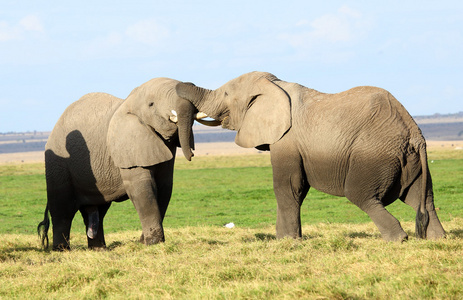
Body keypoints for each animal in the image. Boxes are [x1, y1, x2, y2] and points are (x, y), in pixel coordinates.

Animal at [39, 78, 206, 251]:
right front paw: (153, 243)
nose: (192, 155)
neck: (130, 101)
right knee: (62, 208)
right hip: (57, 163)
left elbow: (164, 188)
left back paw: (99, 249)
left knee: (97, 210)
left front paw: (144, 241)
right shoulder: (127, 146)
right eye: (151, 104)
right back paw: (62, 249)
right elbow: (142, 187)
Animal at [176, 71, 448, 243]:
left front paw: (288, 242)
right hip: (410, 161)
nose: (191, 155)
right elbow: (295, 188)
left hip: (375, 155)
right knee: (422, 198)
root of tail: (414, 134)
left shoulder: (286, 140)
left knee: (362, 195)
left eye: (225, 95)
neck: (275, 84)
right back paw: (437, 239)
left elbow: (287, 187)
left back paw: (398, 240)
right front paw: (284, 240)